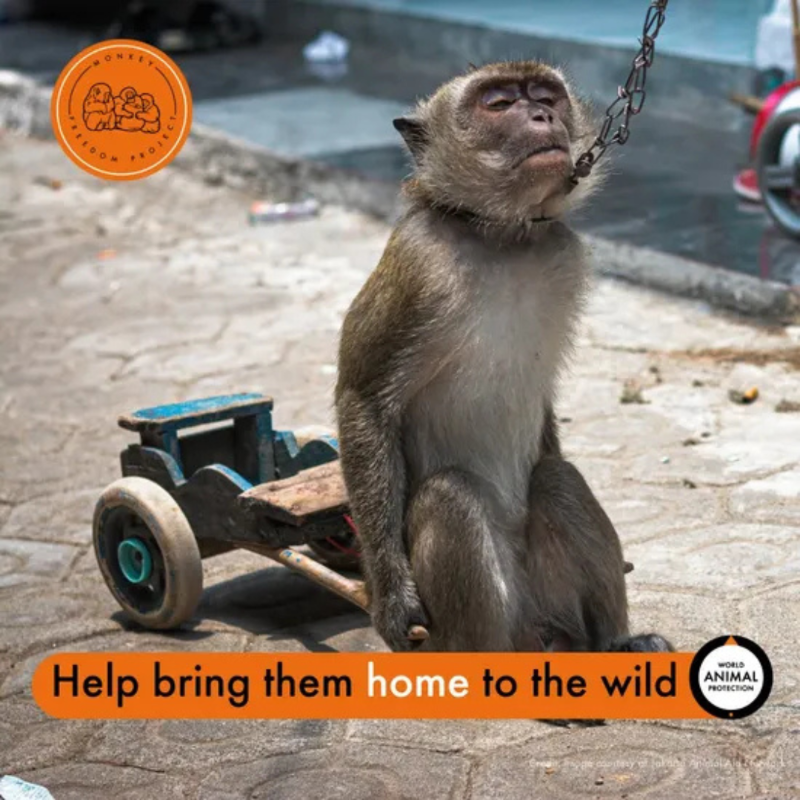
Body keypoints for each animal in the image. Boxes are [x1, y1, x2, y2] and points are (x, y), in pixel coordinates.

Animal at [334, 60, 673, 654]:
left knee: (556, 478)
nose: (540, 116)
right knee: (450, 495)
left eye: (544, 96)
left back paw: (613, 645)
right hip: (471, 627)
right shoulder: (419, 264)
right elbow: (365, 399)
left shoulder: (565, 253)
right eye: (498, 104)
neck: (501, 234)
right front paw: (392, 598)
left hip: (553, 599)